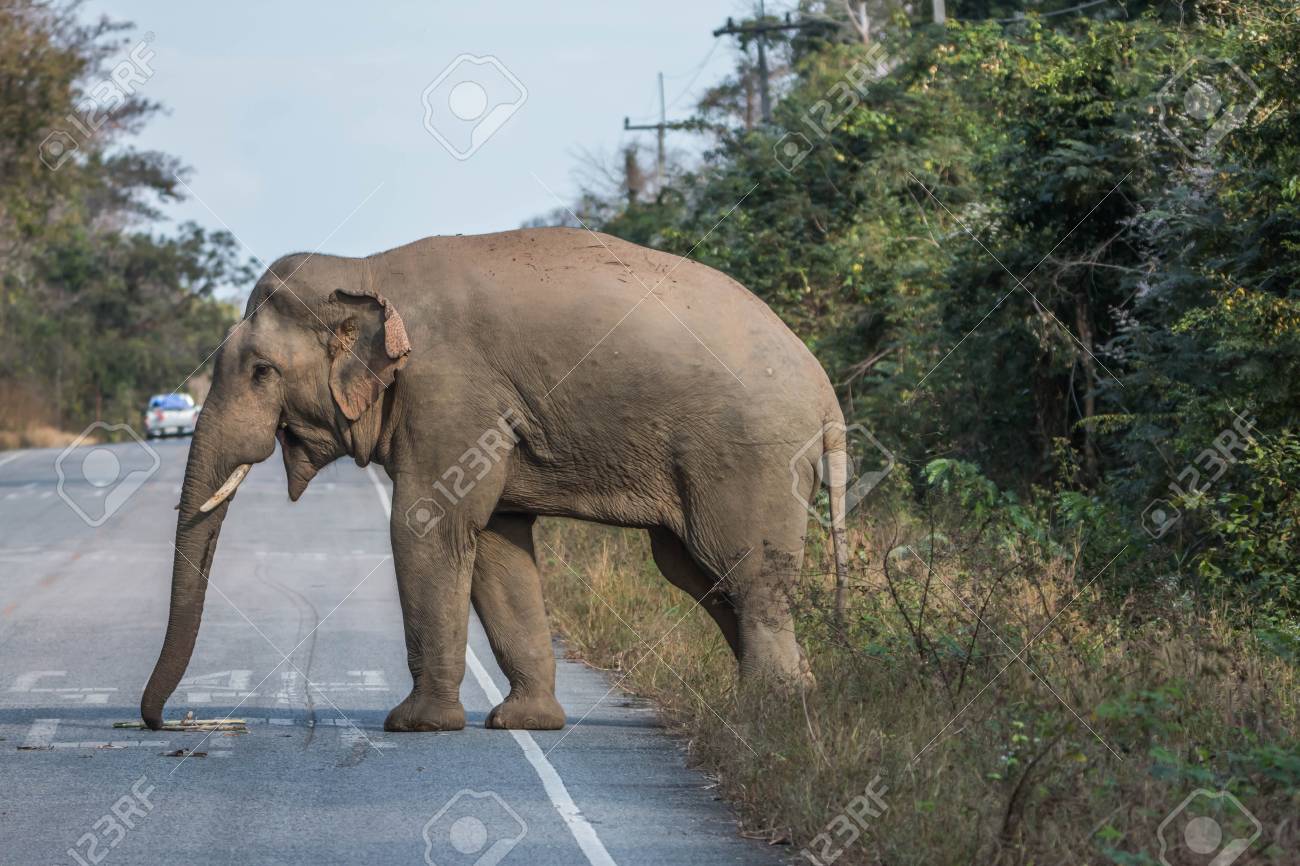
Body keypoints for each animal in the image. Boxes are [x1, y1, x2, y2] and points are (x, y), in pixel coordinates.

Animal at [140, 227, 851, 733]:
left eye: (261, 371)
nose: (161, 722)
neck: (366, 271)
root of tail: (827, 399)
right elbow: (495, 544)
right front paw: (524, 722)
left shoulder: (450, 392)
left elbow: (427, 525)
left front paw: (415, 726)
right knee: (699, 574)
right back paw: (799, 703)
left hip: (750, 455)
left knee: (742, 571)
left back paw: (766, 717)